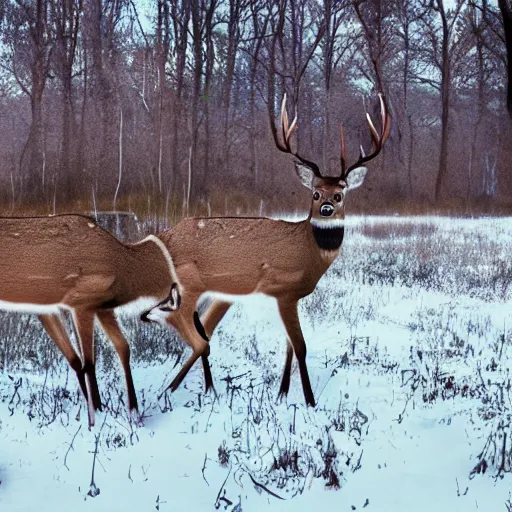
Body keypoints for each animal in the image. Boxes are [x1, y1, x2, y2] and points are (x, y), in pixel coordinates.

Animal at [0, 214, 180, 426]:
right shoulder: (81, 303)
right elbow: (89, 363)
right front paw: (95, 416)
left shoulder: (95, 307)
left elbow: (115, 350)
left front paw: (130, 411)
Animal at [144, 93, 392, 408]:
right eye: (315, 193)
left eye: (340, 194)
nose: (326, 209)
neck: (308, 252)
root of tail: (162, 236)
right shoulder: (284, 289)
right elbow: (300, 346)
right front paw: (310, 401)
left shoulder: (291, 297)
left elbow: (288, 345)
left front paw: (282, 393)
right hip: (190, 284)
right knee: (183, 323)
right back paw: (172, 389)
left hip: (216, 292)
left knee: (203, 330)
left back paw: (198, 388)